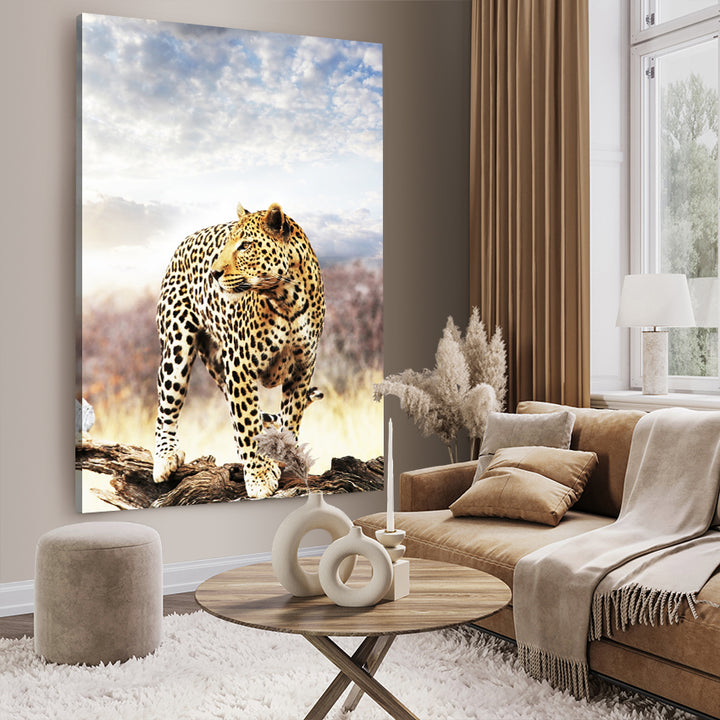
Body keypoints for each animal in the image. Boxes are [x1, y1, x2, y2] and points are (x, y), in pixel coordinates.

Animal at [152, 202, 325, 498]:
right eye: (227, 245)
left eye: (245, 246)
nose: (213, 273)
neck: (287, 299)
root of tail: (184, 242)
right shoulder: (240, 365)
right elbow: (247, 424)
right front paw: (259, 477)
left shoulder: (302, 368)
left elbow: (290, 419)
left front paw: (286, 458)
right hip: (176, 348)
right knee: (167, 405)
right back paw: (165, 457)